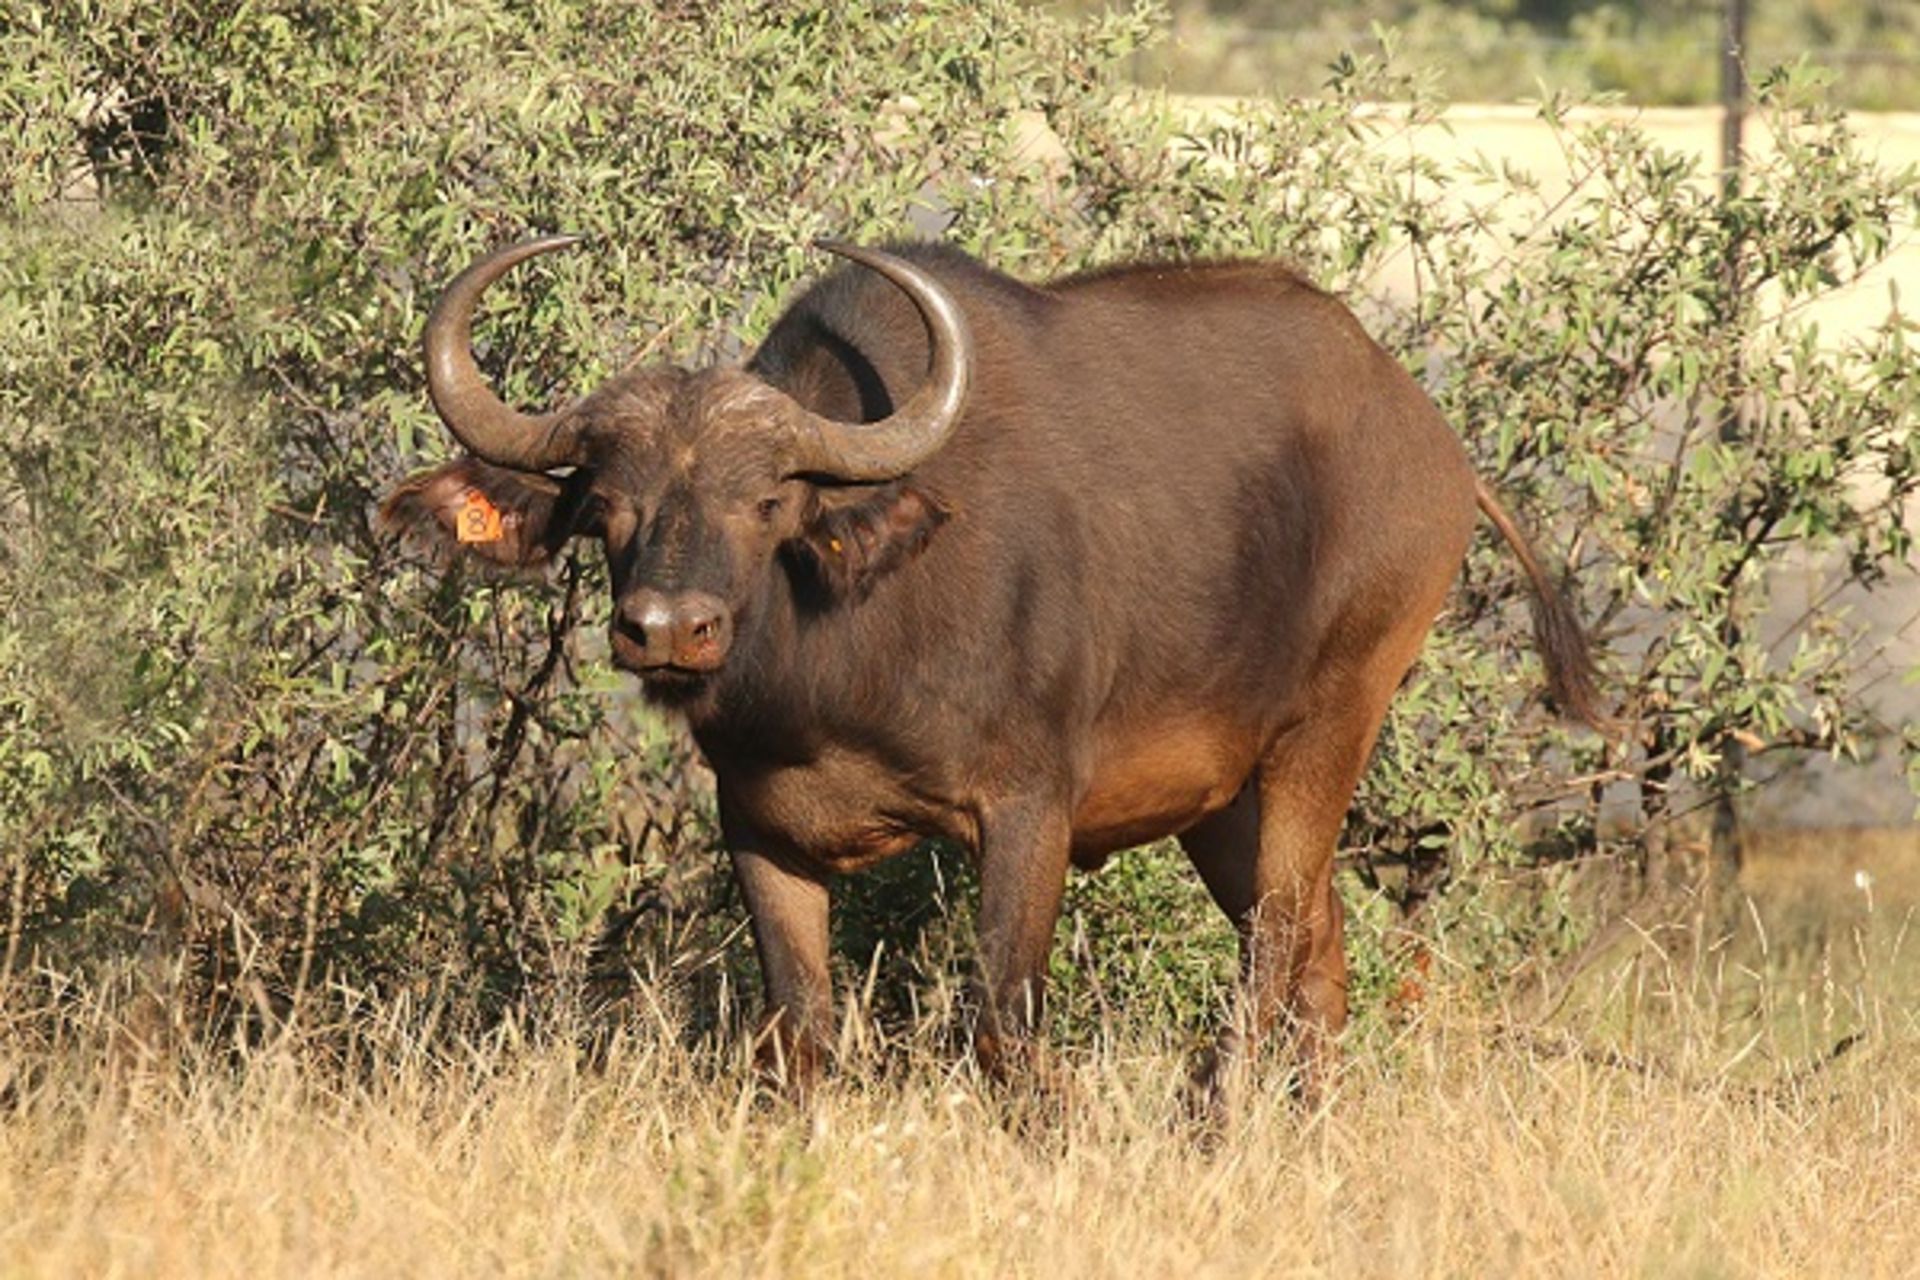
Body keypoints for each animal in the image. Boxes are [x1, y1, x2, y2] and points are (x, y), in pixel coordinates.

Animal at [382, 235, 1597, 1105]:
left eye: (767, 500)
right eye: (605, 505)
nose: (667, 629)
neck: (838, 659)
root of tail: (1431, 441)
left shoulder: (1028, 810)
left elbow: (1001, 1029)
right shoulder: (761, 831)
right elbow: (799, 1038)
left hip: (1330, 723)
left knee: (1278, 943)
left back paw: (1215, 1114)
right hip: (1221, 797)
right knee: (1315, 951)